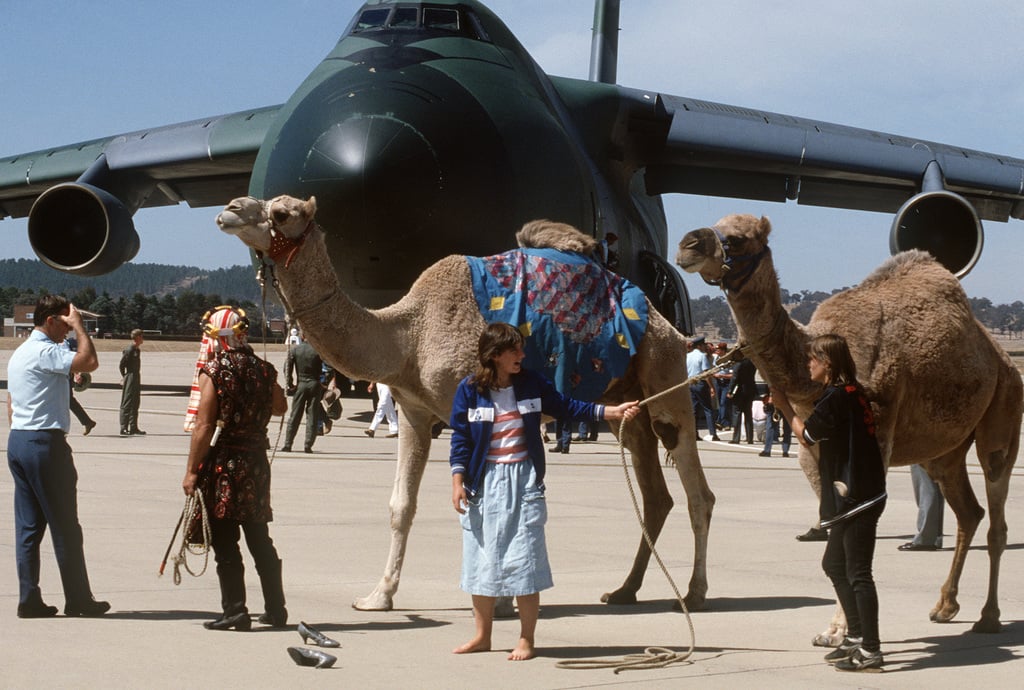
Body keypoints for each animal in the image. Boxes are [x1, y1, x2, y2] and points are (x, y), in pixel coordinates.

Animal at [218, 194, 712, 614]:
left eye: (282, 212)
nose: (230, 209)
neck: (406, 336)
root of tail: (669, 325)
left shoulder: (472, 407)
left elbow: (485, 501)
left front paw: (499, 601)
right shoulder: (414, 410)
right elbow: (401, 505)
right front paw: (378, 596)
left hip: (666, 375)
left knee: (696, 492)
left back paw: (694, 593)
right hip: (627, 401)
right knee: (655, 493)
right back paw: (625, 590)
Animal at [675, 211, 1019, 642]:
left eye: (737, 238)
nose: (687, 244)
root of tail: (1002, 358)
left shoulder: (877, 433)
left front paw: (840, 630)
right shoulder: (814, 447)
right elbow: (833, 516)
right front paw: (837, 628)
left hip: (1003, 416)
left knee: (997, 515)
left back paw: (988, 617)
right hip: (945, 450)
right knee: (969, 512)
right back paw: (944, 607)